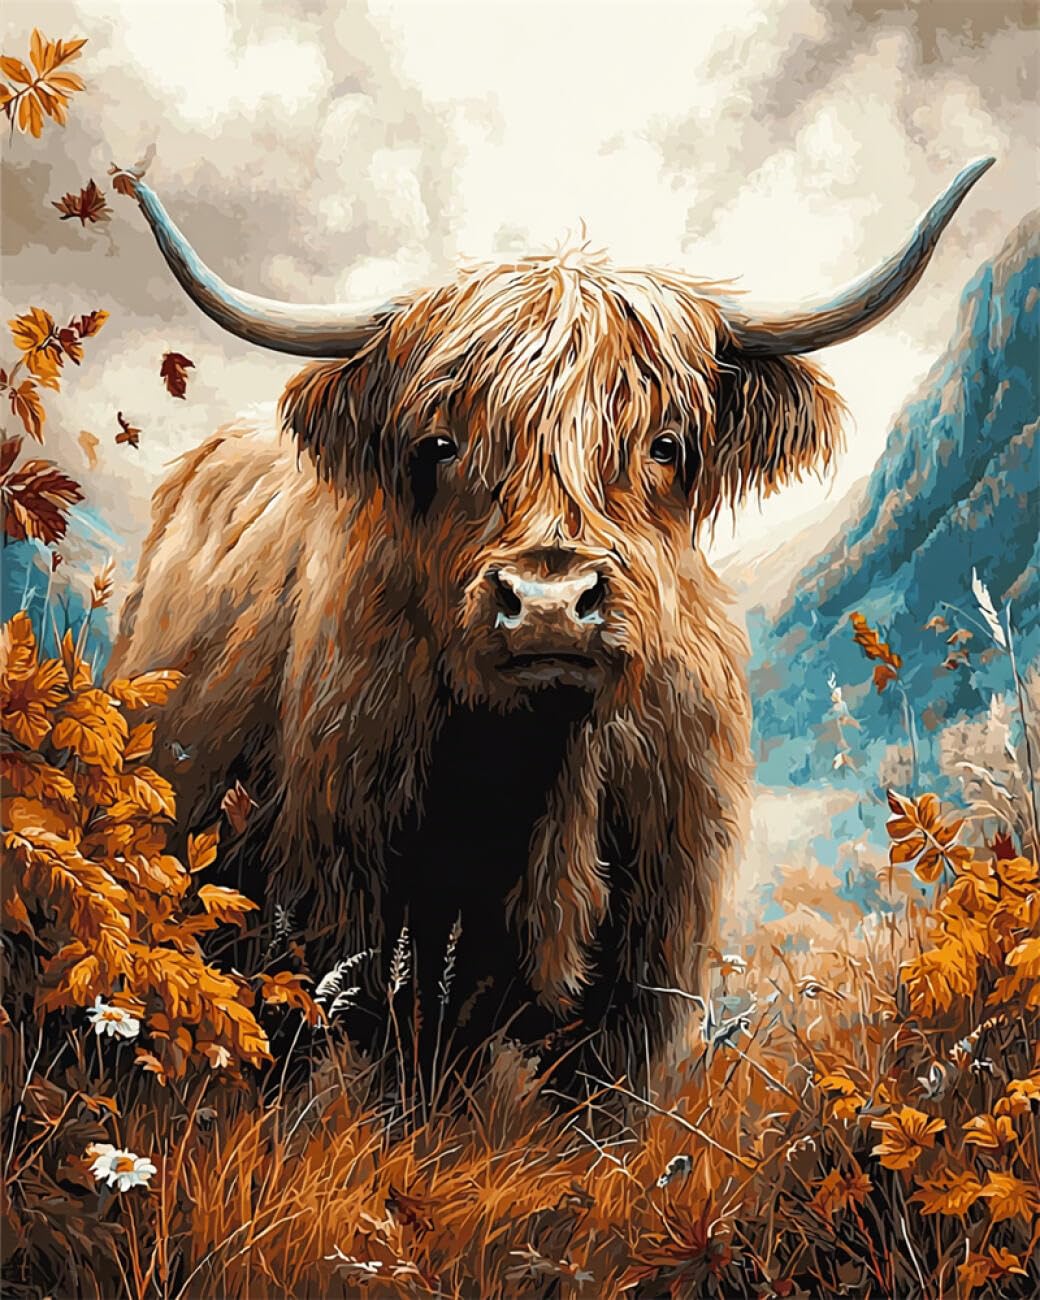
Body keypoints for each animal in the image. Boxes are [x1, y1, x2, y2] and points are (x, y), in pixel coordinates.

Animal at [109, 158, 992, 1088]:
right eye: (440, 445)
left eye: (665, 445)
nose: (548, 603)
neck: (542, 771)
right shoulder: (346, 916)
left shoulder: (646, 967)